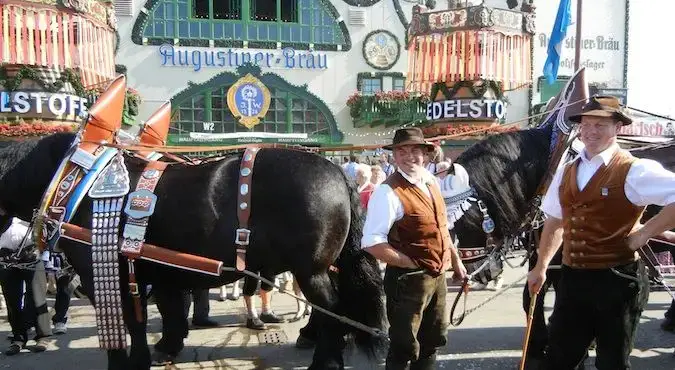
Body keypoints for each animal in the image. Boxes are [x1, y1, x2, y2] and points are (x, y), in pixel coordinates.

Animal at [0, 134, 386, 370]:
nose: (19, 252)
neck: (78, 183)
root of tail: (337, 171)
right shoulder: (156, 271)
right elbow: (167, 312)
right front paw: (166, 347)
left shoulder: (108, 276)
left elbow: (130, 324)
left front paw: (132, 360)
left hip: (311, 270)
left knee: (332, 310)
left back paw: (325, 360)